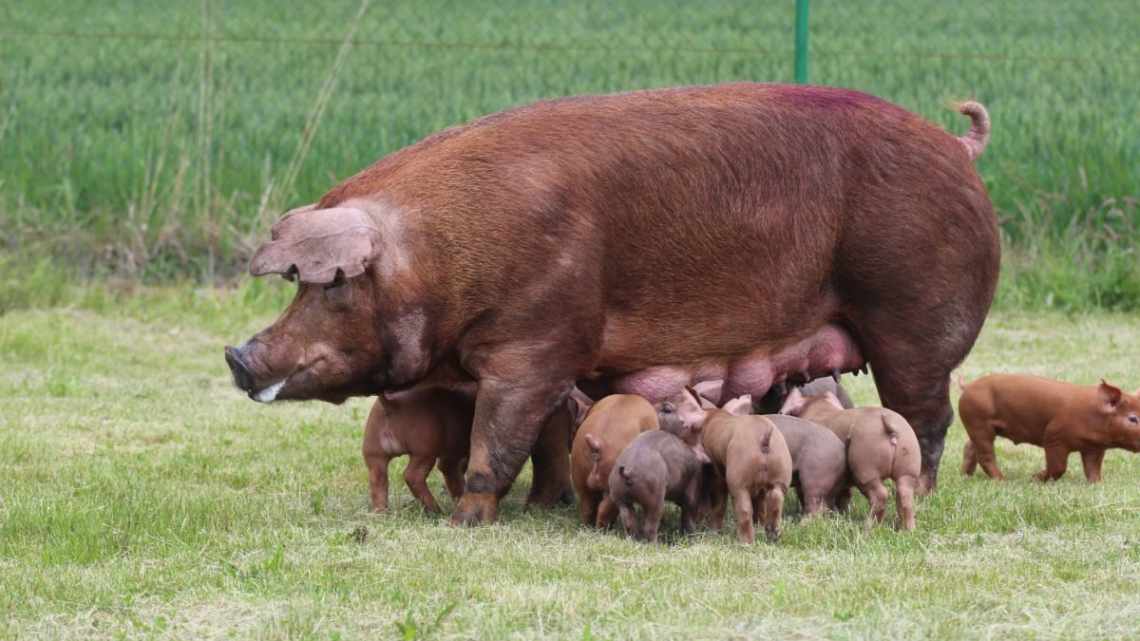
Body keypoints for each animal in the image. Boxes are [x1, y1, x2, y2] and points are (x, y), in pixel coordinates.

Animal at [222, 82, 998, 522]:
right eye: (300, 282)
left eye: (331, 284)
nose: (236, 354)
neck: (440, 256)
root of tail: (957, 147)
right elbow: (535, 442)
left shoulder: (535, 343)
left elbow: (499, 438)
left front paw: (468, 518)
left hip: (915, 319)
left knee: (928, 417)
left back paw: (927, 494)